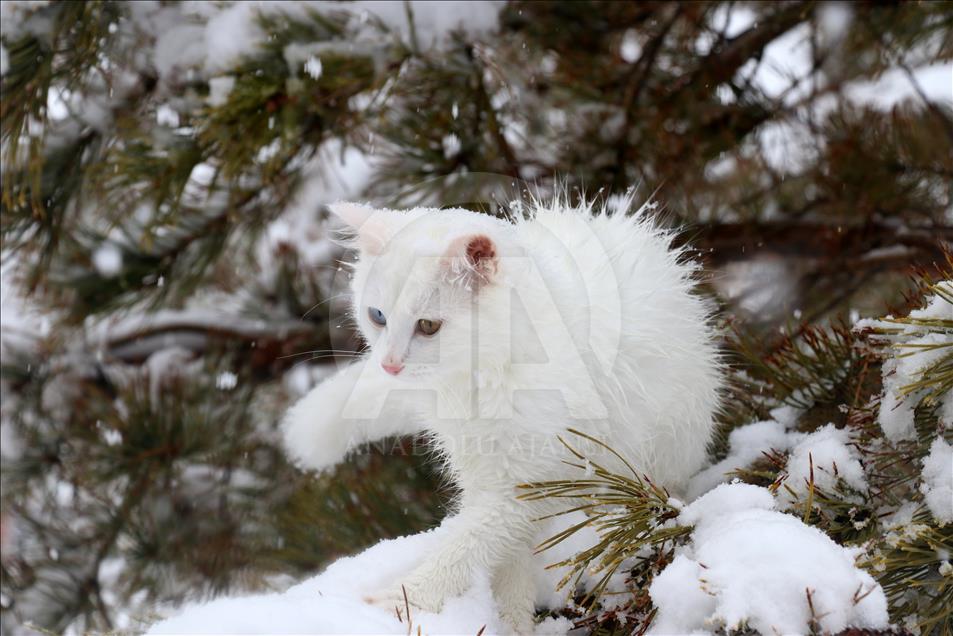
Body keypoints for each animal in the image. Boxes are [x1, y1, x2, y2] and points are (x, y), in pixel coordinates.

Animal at [282, 195, 720, 632]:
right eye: (377, 317)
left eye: (428, 326)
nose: (389, 365)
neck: (480, 377)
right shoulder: (490, 477)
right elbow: (505, 557)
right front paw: (509, 619)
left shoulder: (525, 488)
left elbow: (467, 546)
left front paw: (397, 602)